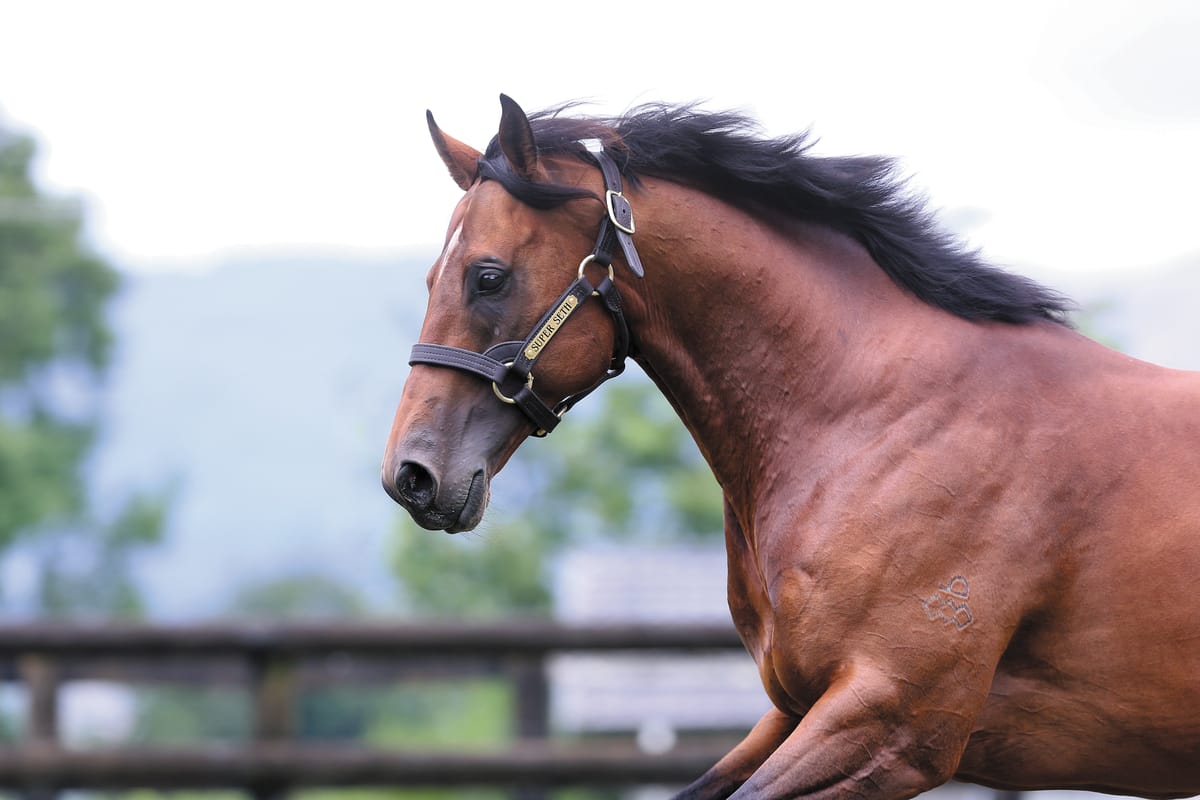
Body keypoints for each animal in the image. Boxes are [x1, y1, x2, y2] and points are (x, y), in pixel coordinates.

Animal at [386, 97, 1200, 796]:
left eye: (488, 277)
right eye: (430, 276)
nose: (412, 475)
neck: (875, 416)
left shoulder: (893, 722)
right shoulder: (796, 707)